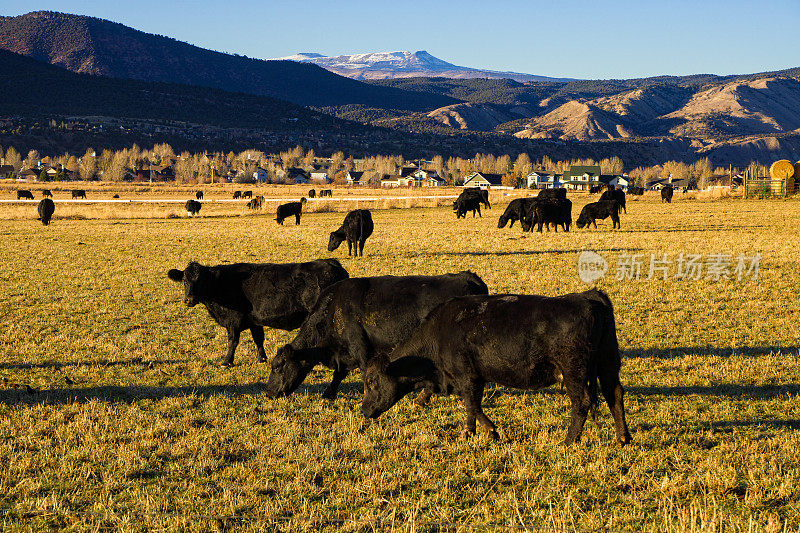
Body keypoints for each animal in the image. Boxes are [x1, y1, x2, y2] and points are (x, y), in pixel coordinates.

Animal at [166, 258, 346, 366]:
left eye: (201, 280)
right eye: (184, 280)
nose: (189, 299)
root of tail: (331, 262)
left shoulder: (233, 321)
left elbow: (233, 341)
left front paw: (226, 361)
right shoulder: (254, 321)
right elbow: (258, 339)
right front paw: (262, 358)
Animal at [266, 272, 488, 402]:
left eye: (278, 366)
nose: (268, 393)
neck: (331, 309)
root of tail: (468, 277)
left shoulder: (360, 348)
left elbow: (365, 372)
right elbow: (339, 374)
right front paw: (328, 395)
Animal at [362, 288, 632, 446]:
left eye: (372, 381)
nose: (364, 410)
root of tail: (587, 297)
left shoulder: (466, 376)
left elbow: (471, 404)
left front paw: (476, 432)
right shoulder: (475, 377)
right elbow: (473, 405)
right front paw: (484, 431)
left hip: (573, 370)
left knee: (582, 401)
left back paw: (568, 441)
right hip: (608, 362)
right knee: (615, 394)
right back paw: (623, 438)